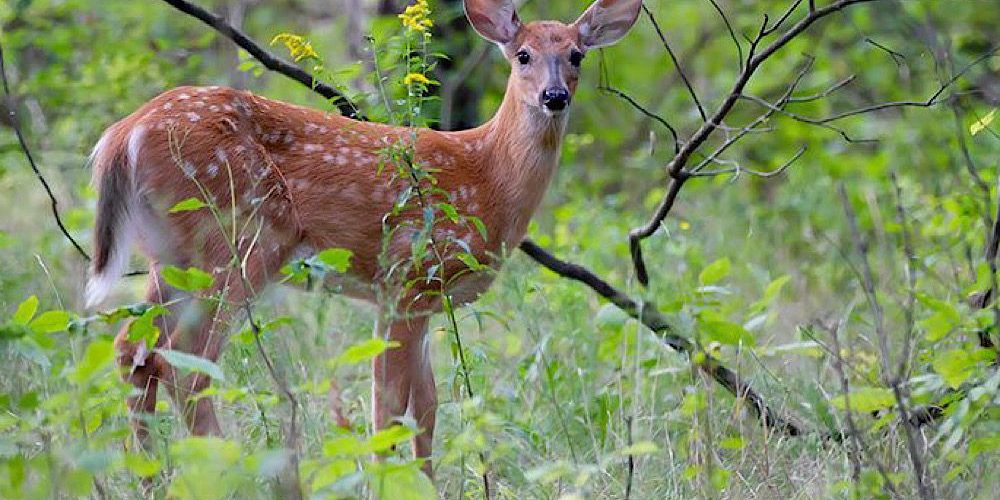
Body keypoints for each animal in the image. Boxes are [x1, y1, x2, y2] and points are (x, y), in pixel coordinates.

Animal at [85, 0, 641, 477]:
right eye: (523, 54)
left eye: (576, 54)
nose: (555, 96)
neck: (487, 176)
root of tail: (122, 135)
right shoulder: (406, 277)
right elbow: (389, 407)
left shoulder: (425, 301)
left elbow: (427, 408)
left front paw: (426, 482)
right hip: (238, 238)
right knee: (185, 365)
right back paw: (235, 470)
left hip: (172, 254)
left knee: (132, 351)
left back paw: (151, 475)